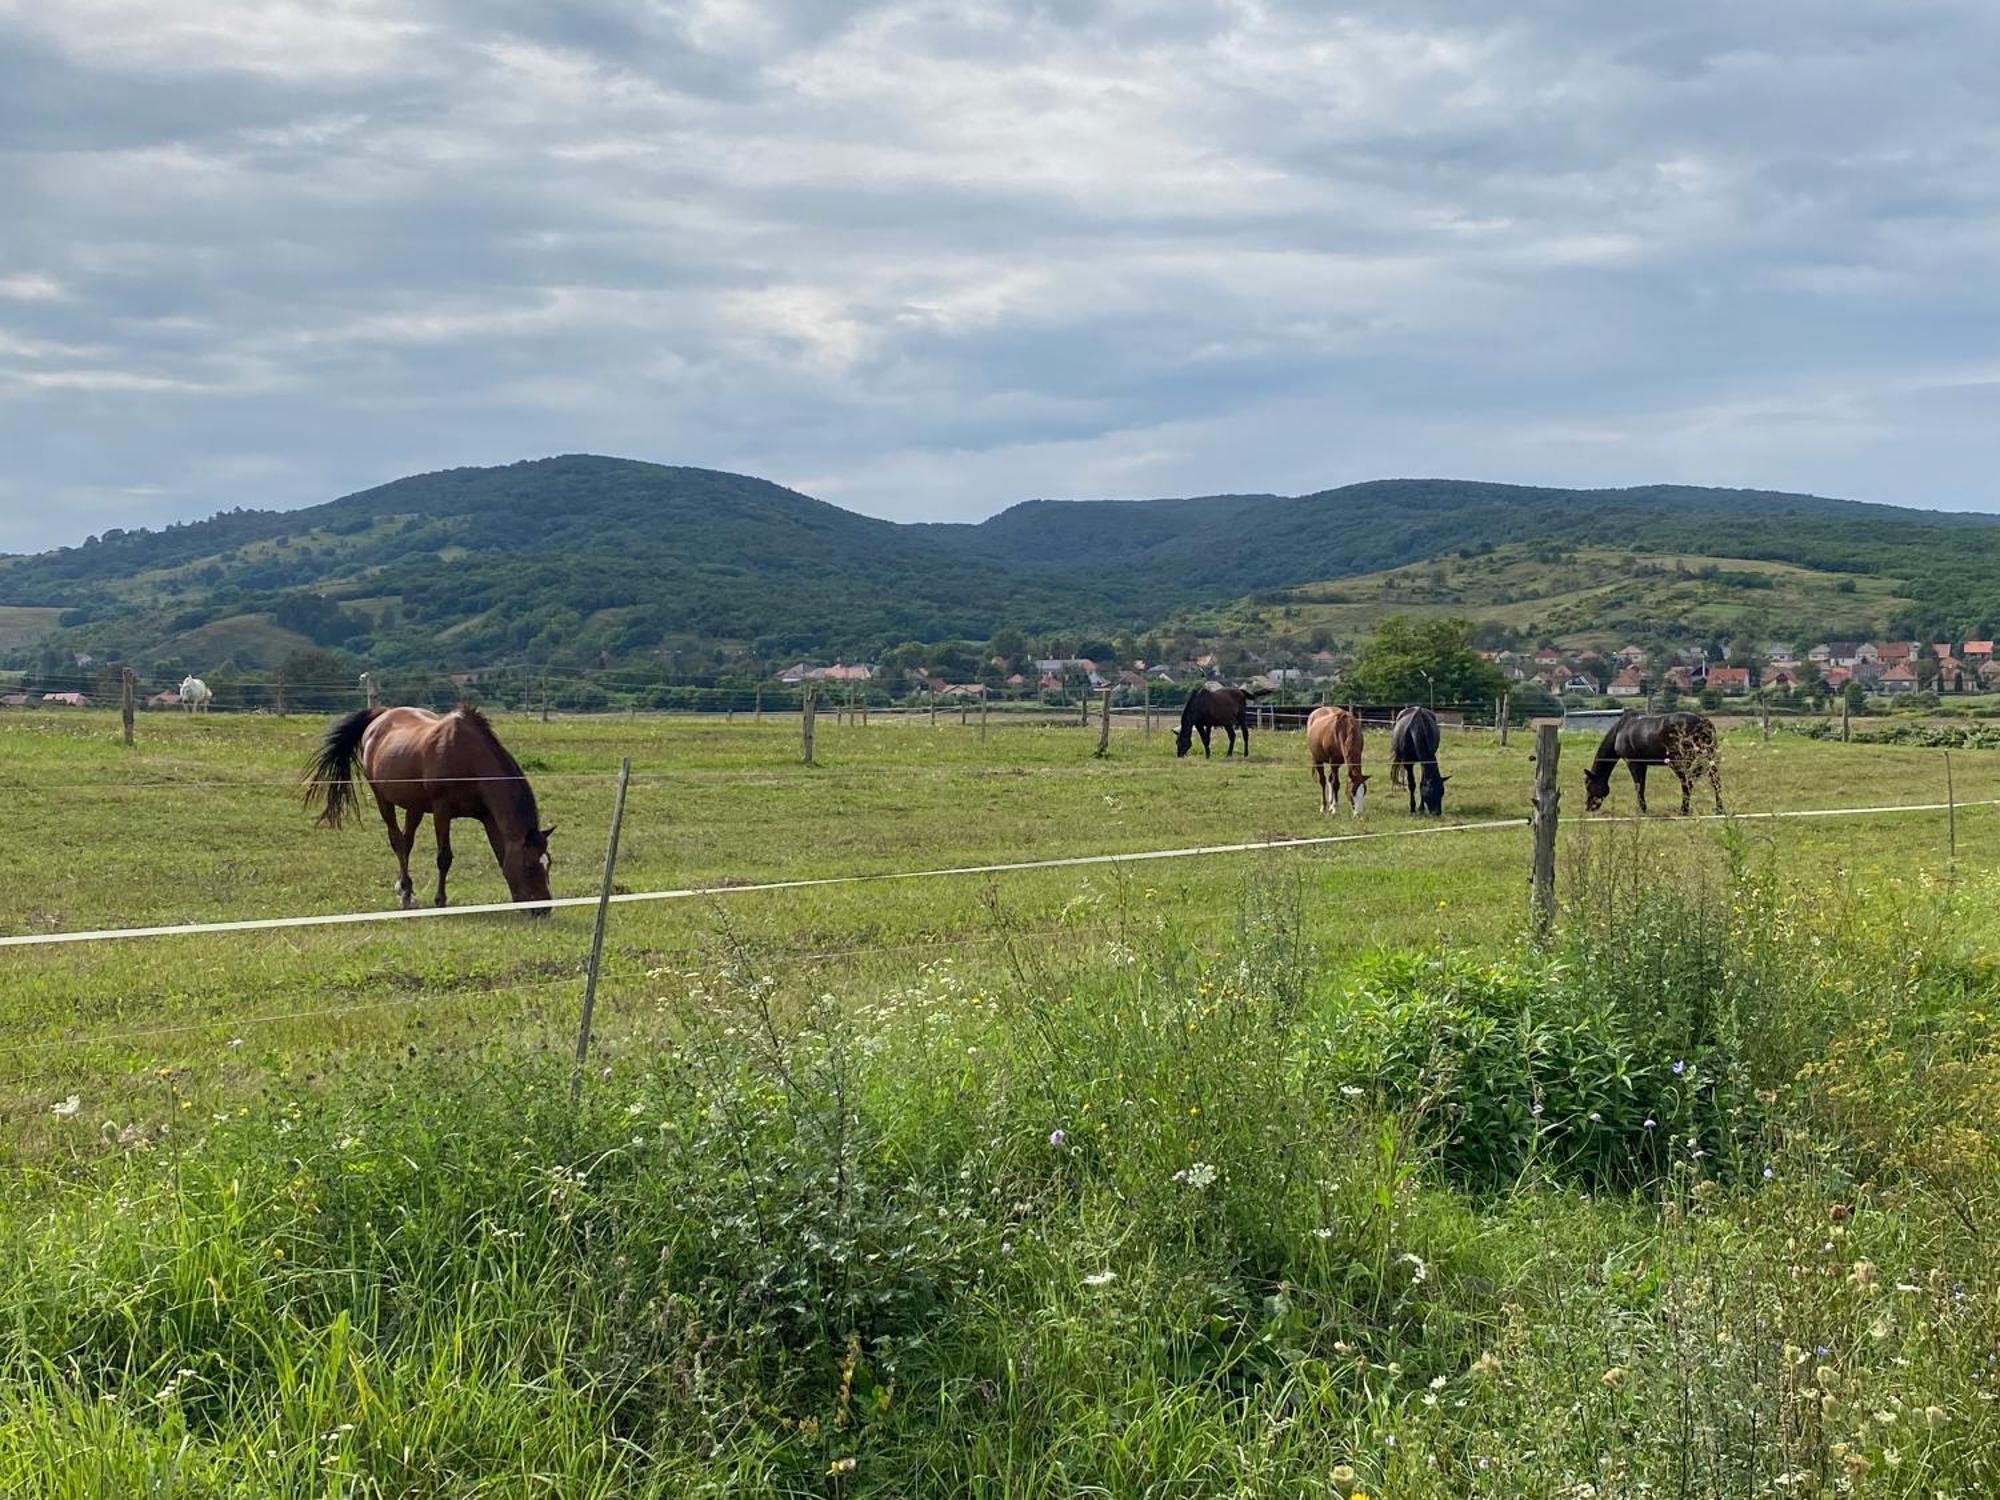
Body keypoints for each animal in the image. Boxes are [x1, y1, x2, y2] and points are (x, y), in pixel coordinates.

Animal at [302, 708, 556, 912]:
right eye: (530, 866)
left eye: (548, 864)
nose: (543, 909)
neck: (470, 760)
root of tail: (381, 714)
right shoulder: (442, 810)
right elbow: (444, 857)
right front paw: (440, 900)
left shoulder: (488, 816)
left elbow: (501, 855)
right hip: (383, 799)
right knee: (397, 841)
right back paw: (405, 893)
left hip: (414, 806)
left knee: (406, 843)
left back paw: (405, 890)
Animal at [1584, 712, 1728, 816]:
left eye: (1588, 786)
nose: (1588, 807)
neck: (1621, 730)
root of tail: (1702, 721)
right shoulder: (1643, 764)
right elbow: (1642, 786)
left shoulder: (1633, 763)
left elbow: (1638, 787)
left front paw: (1641, 810)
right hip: (1709, 759)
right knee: (1715, 782)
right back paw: (1719, 809)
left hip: (1681, 763)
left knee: (1687, 784)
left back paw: (1683, 810)